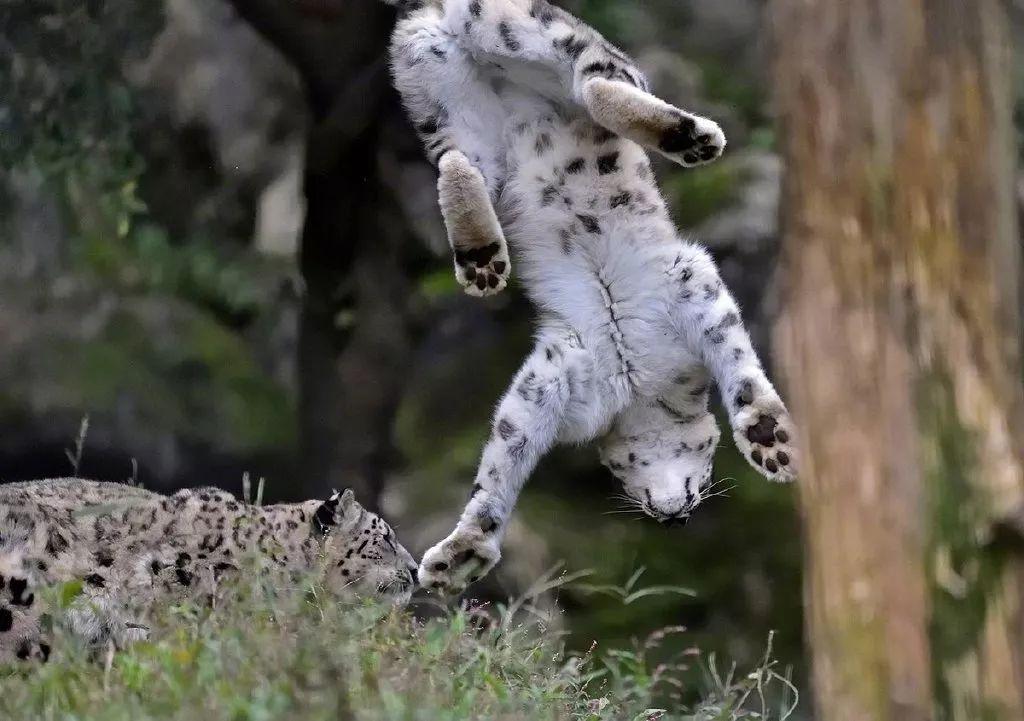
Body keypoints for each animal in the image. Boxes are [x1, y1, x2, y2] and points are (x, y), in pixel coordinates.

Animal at [382, 0, 798, 598]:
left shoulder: (683, 288)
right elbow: (507, 451)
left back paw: (482, 257)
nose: (675, 519)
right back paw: (690, 138)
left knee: (467, 154)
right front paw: (465, 551)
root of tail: (437, 13)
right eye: (619, 474)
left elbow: (736, 360)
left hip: (442, 88)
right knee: (598, 81)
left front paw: (768, 437)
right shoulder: (561, 370)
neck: (635, 383)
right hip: (500, 60)